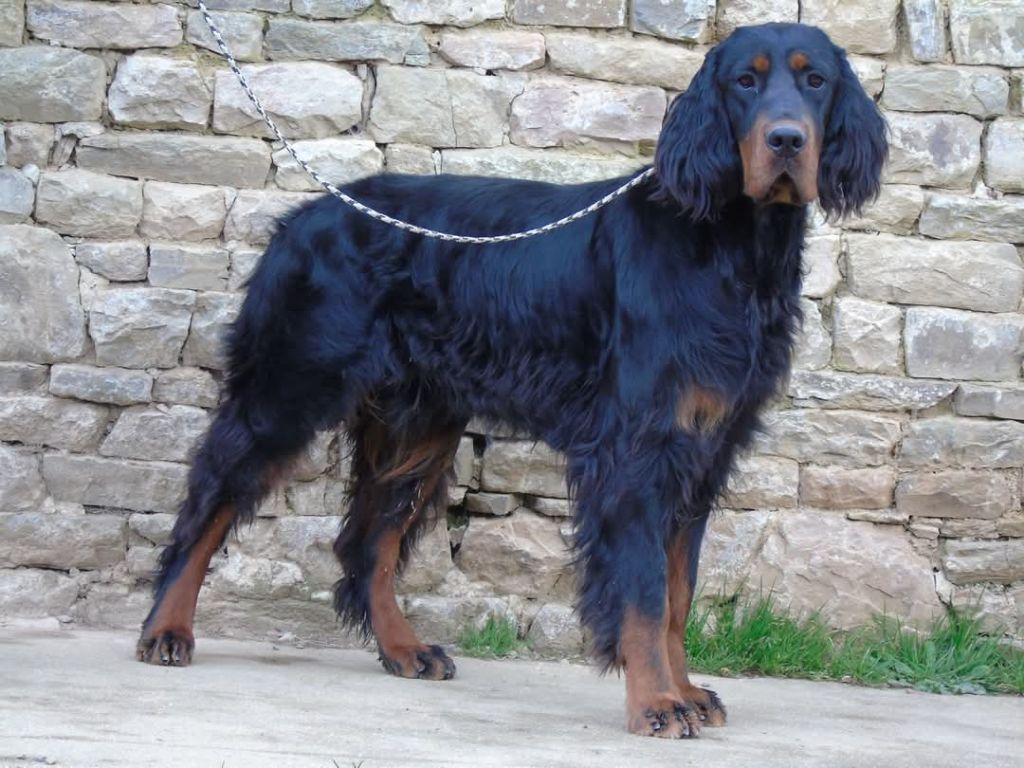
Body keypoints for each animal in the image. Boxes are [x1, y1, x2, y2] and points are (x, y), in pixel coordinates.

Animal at [137, 22, 887, 738]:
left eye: (815, 81)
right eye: (743, 82)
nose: (786, 140)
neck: (731, 246)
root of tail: (305, 216)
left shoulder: (702, 451)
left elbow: (678, 592)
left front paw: (685, 690)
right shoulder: (636, 450)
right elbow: (644, 593)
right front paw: (655, 703)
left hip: (417, 422)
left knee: (369, 543)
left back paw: (403, 648)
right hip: (290, 388)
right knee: (209, 502)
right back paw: (166, 629)